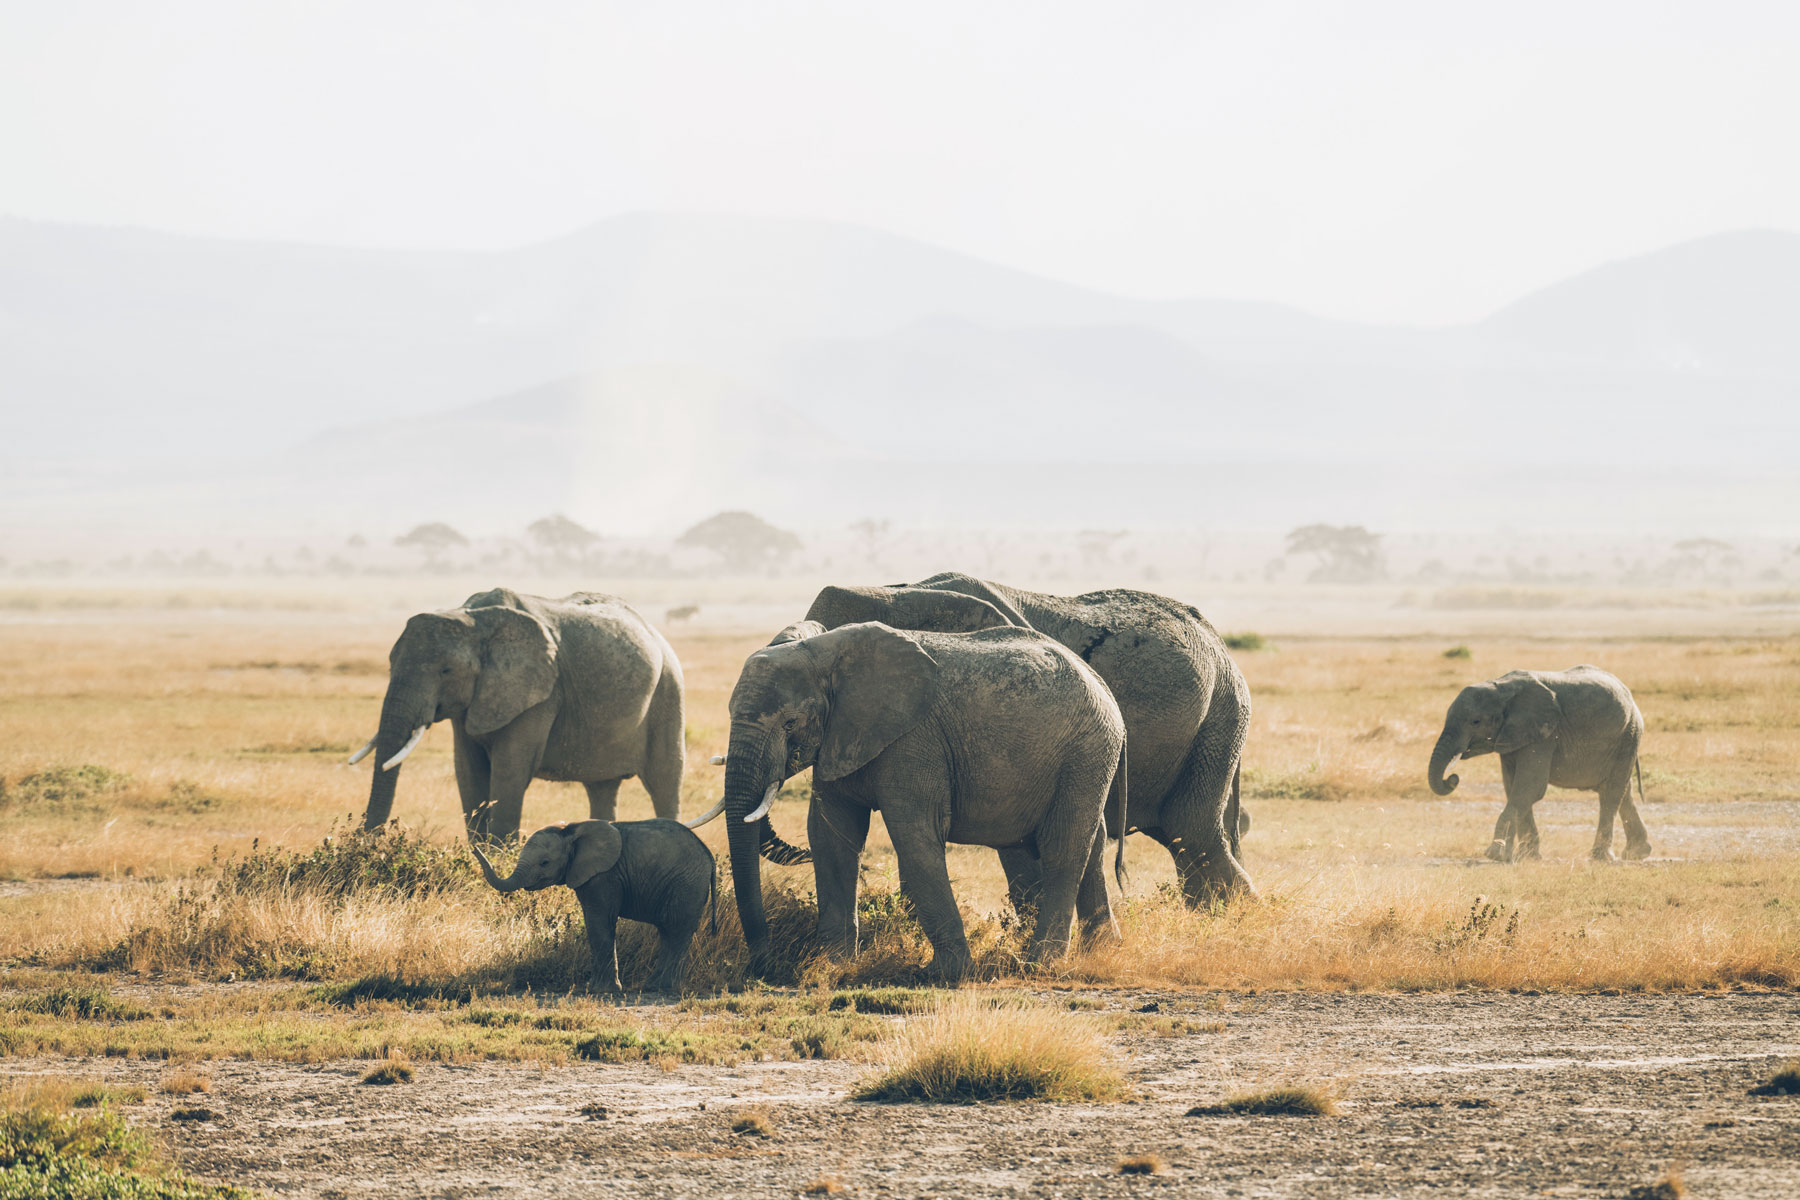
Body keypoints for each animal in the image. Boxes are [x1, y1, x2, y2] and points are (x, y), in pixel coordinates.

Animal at [347, 586, 684, 841]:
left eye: (446, 671)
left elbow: (509, 768)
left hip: (669, 689)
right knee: (602, 786)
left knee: (665, 780)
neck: (471, 617)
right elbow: (468, 769)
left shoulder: (540, 692)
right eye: (390, 663)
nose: (364, 840)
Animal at [468, 816, 712, 993]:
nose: (473, 848)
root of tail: (709, 855)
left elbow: (599, 923)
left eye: (545, 863)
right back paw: (654, 986)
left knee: (676, 930)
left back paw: (665, 988)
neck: (571, 829)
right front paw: (599, 988)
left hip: (686, 884)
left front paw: (599, 991)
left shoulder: (603, 876)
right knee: (669, 932)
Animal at [716, 626, 1123, 978]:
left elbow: (914, 832)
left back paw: (1038, 965)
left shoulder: (912, 740)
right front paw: (834, 966)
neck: (826, 653)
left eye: (790, 723)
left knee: (1062, 846)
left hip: (1085, 753)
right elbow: (830, 835)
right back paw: (1103, 950)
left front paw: (946, 974)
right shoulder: (840, 736)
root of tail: (1099, 681)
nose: (763, 965)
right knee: (1092, 845)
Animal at [1425, 665, 1648, 863]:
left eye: (1476, 722)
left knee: (1611, 792)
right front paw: (1527, 857)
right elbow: (1513, 787)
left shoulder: (1544, 733)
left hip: (1629, 734)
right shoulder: (1514, 736)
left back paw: (1602, 858)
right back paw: (1636, 854)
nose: (1452, 779)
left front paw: (1496, 855)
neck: (1501, 688)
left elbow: (1530, 787)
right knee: (1623, 791)